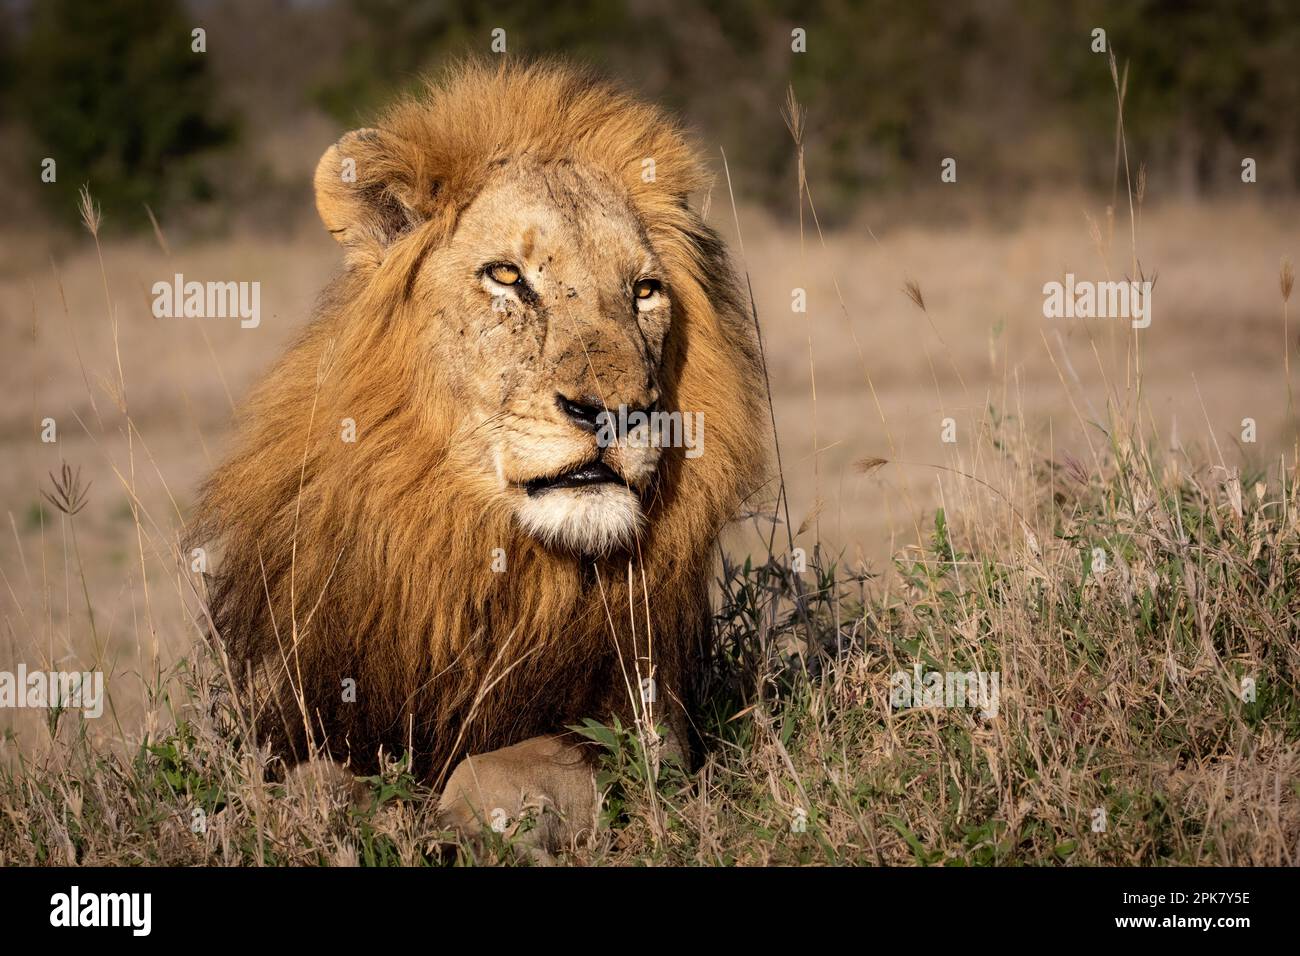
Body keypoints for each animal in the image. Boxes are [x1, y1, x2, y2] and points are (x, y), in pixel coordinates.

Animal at [190, 59, 767, 852]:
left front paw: (453, 823)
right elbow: (303, 786)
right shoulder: (304, 719)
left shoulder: (654, 733)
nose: (614, 412)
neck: (475, 549)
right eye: (507, 277)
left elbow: (494, 770)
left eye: (645, 291)